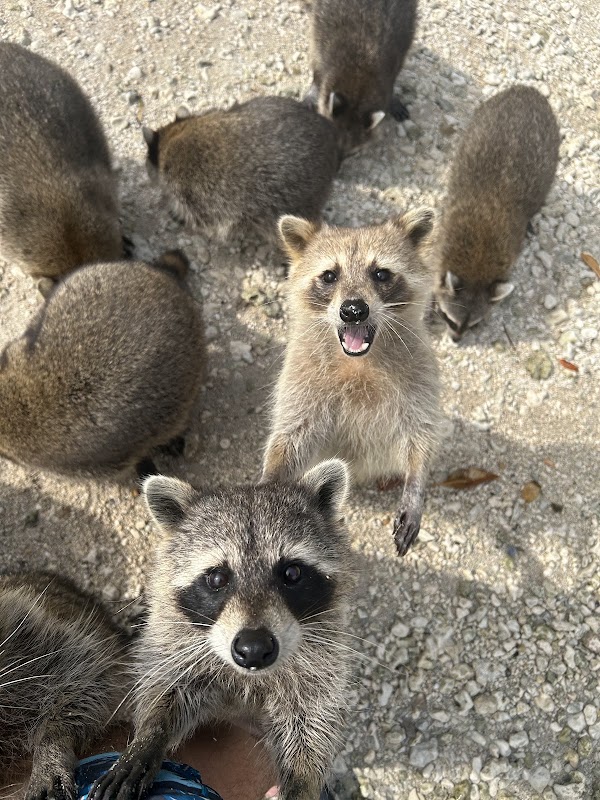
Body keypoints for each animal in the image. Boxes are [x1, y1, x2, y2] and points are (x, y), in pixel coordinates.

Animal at [88, 460, 354, 800]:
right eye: (216, 578)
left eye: (292, 573)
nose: (254, 648)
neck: (247, 678)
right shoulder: (173, 639)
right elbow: (165, 688)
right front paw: (148, 738)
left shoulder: (322, 661)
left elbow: (312, 719)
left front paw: (302, 779)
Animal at [262, 210, 441, 557]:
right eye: (330, 276)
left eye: (381, 274)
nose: (354, 311)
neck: (359, 360)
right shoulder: (301, 379)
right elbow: (291, 437)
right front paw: (269, 479)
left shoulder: (418, 374)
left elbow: (421, 436)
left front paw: (416, 484)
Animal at [306, 0, 417, 154]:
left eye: (352, 153)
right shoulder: (324, 45)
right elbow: (317, 68)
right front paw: (314, 88)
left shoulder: (395, 58)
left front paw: (392, 99)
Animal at [433, 85, 560, 341]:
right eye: (449, 319)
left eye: (473, 325)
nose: (456, 340)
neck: (476, 266)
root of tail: (529, 90)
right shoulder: (444, 240)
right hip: (482, 118)